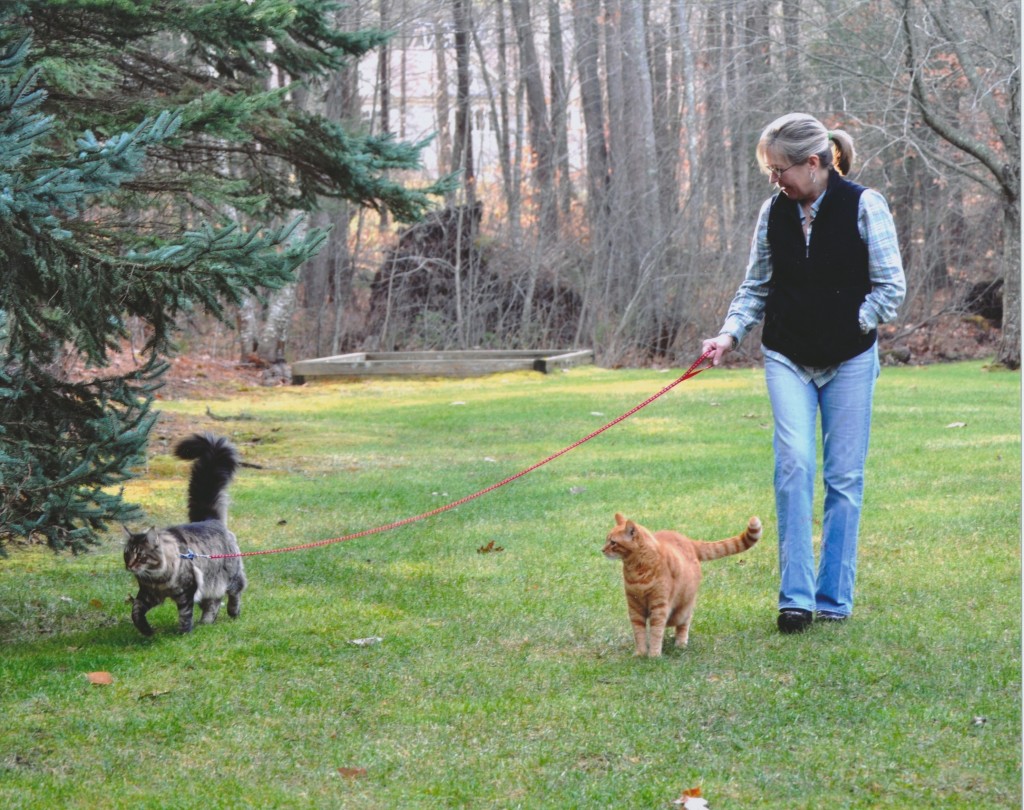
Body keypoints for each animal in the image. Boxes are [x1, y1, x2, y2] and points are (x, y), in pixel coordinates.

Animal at [123, 434, 247, 634]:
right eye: (127, 555)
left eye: (141, 556)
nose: (130, 566)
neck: (157, 579)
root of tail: (210, 519)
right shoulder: (147, 595)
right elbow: (135, 612)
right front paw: (147, 630)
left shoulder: (187, 591)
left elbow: (185, 614)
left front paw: (183, 633)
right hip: (210, 584)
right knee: (213, 602)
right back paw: (206, 621)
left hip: (231, 575)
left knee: (235, 592)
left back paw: (232, 612)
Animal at [598, 516, 761, 655]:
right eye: (607, 540)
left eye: (613, 542)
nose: (602, 550)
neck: (637, 571)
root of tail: (688, 540)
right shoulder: (634, 607)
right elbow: (639, 633)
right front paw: (641, 653)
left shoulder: (659, 606)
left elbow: (656, 632)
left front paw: (654, 655)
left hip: (682, 610)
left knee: (684, 623)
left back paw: (680, 643)